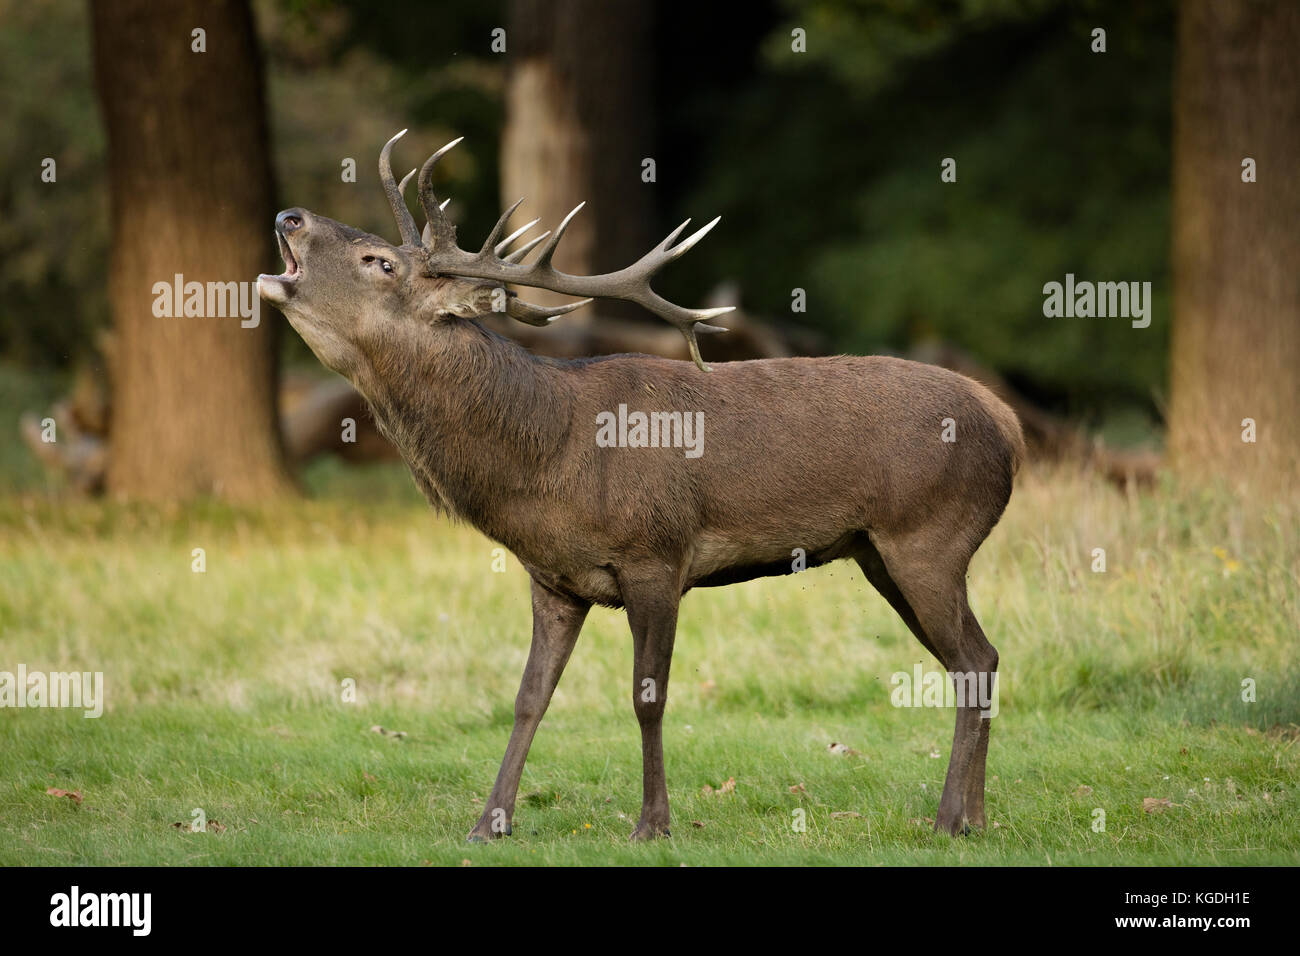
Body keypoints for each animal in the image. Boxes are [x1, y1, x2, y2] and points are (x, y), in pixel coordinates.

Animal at [256, 130, 1024, 842]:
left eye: (380, 262)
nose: (289, 215)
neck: (545, 463)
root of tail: (1008, 421)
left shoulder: (656, 554)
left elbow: (646, 695)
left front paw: (653, 823)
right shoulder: (553, 579)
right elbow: (529, 696)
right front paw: (489, 822)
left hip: (927, 536)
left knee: (972, 658)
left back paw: (948, 819)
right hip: (878, 554)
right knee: (978, 660)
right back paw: (977, 817)